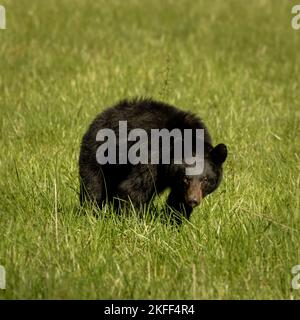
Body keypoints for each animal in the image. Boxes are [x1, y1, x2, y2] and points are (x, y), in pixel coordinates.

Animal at [78, 97, 226, 222]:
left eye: (205, 179)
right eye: (186, 178)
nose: (193, 200)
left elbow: (177, 202)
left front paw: (173, 224)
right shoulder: (153, 155)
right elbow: (133, 189)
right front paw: (131, 223)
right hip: (98, 153)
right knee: (93, 186)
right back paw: (91, 214)